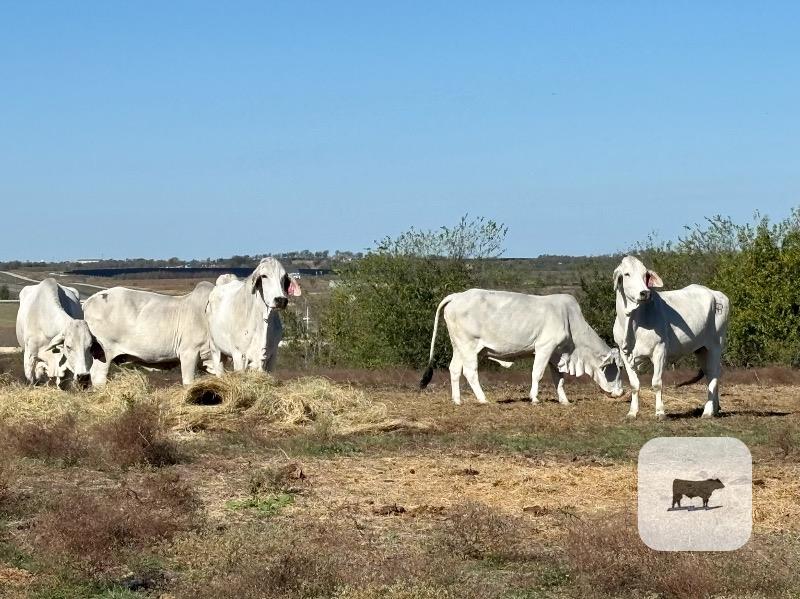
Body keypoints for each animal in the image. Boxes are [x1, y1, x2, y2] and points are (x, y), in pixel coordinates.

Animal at [419, 289, 624, 405]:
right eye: (619, 367)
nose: (621, 392)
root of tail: (456, 296)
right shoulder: (544, 347)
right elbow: (537, 374)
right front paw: (534, 398)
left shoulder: (556, 355)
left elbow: (559, 379)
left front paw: (564, 401)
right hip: (469, 346)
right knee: (470, 372)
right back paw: (483, 399)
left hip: (458, 346)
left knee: (454, 369)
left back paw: (457, 400)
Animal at [612, 256, 730, 419]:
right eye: (627, 274)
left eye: (645, 275)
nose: (645, 293)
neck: (633, 324)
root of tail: (716, 293)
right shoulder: (625, 354)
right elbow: (634, 384)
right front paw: (632, 412)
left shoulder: (660, 350)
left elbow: (656, 383)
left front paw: (660, 412)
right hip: (701, 348)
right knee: (709, 373)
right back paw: (716, 408)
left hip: (715, 344)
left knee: (713, 373)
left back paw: (707, 411)